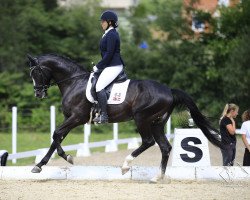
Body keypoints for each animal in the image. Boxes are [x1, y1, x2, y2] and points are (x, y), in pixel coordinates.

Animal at [28, 54, 222, 182]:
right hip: (157, 123)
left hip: (141, 118)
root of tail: (169, 90)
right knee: (165, 147)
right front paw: (39, 165)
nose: (38, 93)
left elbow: (56, 134)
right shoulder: (70, 118)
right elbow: (56, 138)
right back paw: (157, 177)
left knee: (148, 142)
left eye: (37, 73)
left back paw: (126, 166)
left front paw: (67, 157)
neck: (74, 82)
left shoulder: (77, 118)